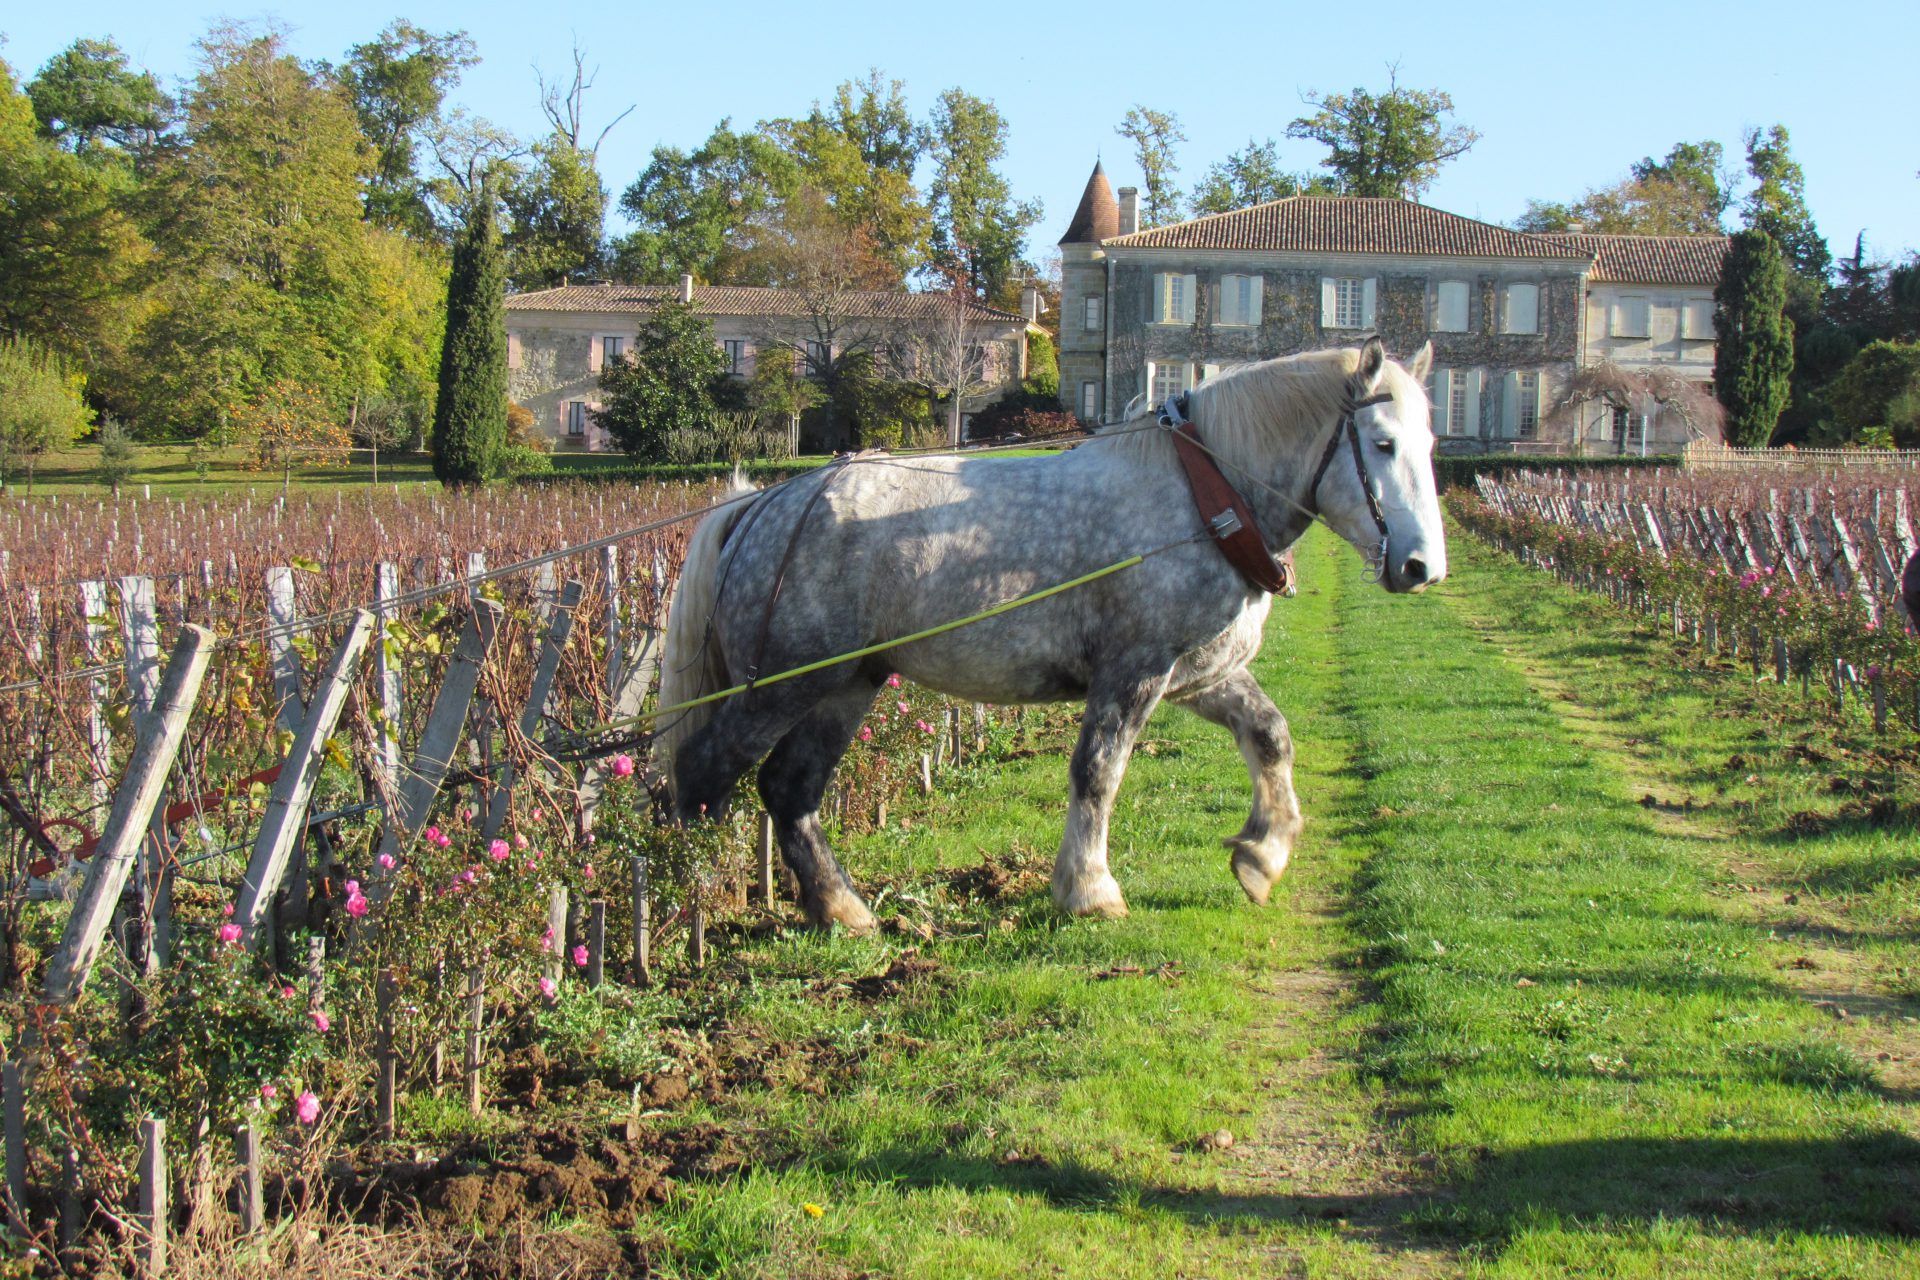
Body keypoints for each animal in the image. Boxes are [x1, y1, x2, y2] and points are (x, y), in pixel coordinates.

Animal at [660, 335, 1443, 924]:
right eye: (1380, 443)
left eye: (1431, 443)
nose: (1421, 566)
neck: (1205, 498)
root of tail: (764, 505)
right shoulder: (1133, 669)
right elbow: (1098, 772)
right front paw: (1089, 889)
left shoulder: (1197, 673)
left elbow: (1270, 735)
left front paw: (1262, 855)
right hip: (779, 688)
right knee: (698, 781)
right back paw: (687, 916)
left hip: (847, 684)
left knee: (788, 790)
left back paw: (840, 910)